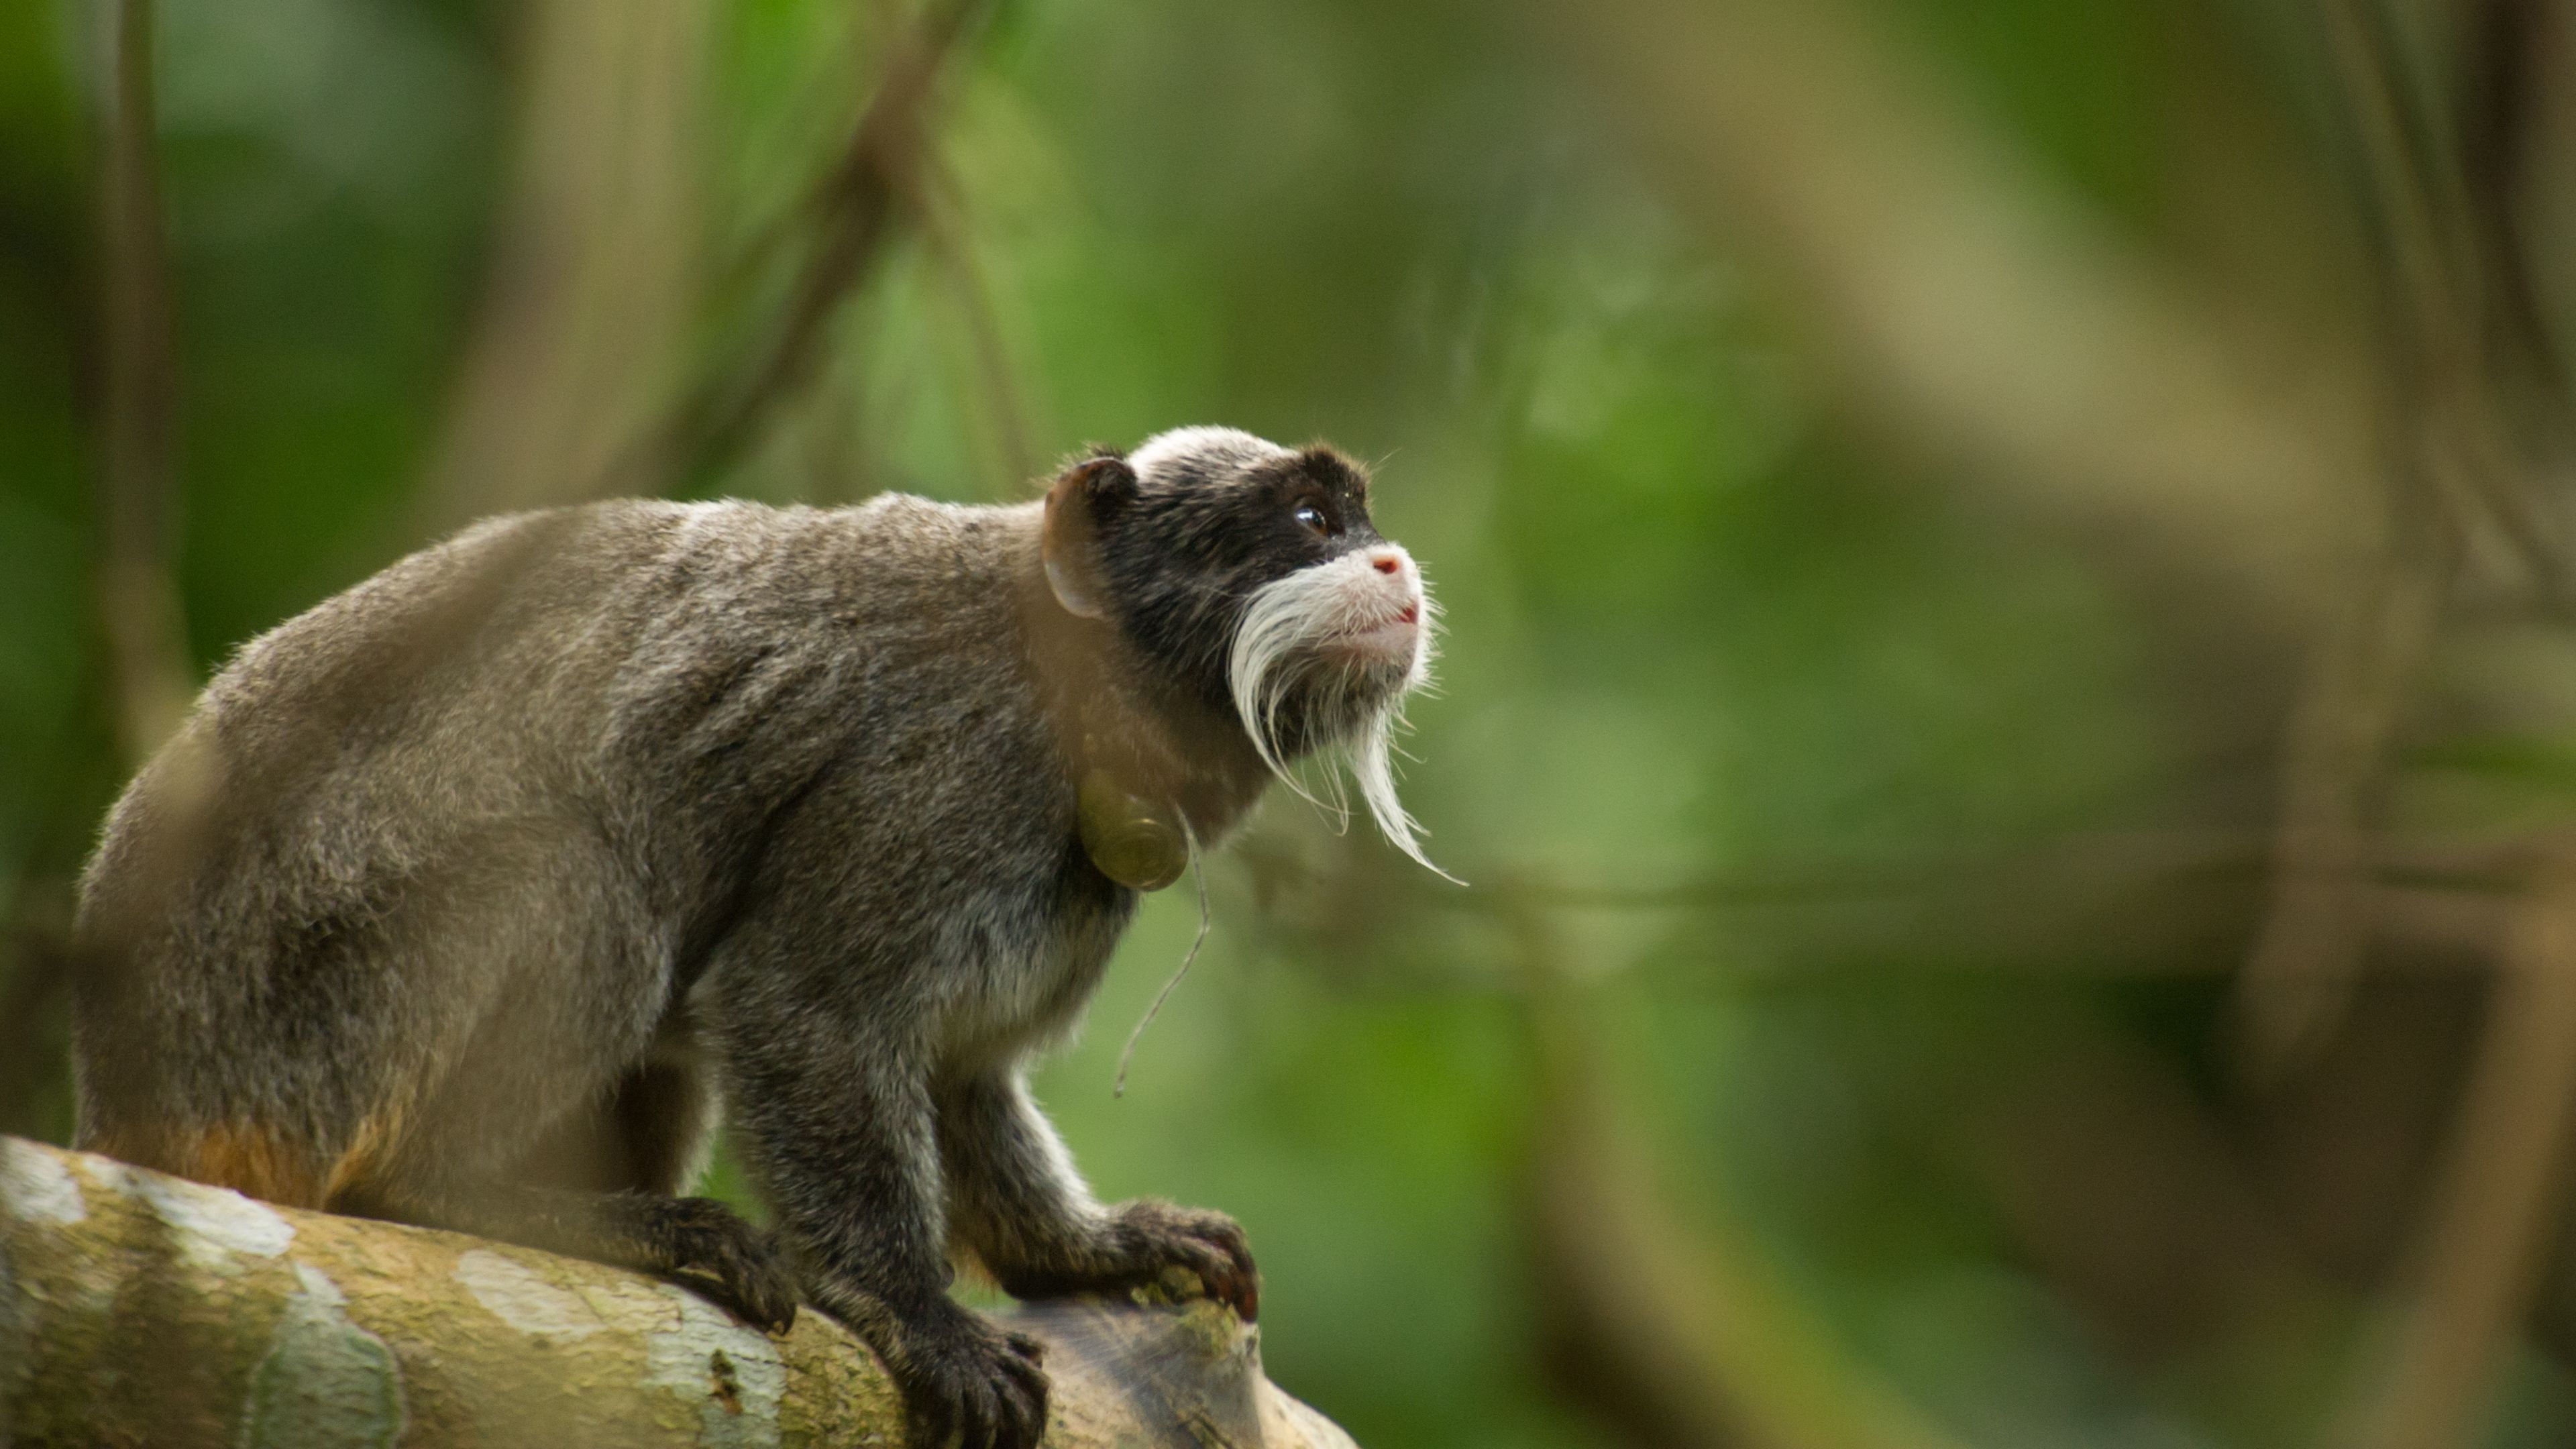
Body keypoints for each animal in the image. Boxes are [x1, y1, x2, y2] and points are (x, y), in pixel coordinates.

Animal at [70, 428, 1452, 1444]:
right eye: (1311, 525)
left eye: (1360, 520)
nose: (1396, 566)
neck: (1068, 695)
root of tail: (128, 1093)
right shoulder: (931, 784)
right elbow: (811, 1009)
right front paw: (917, 1313)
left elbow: (962, 1074)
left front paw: (1087, 1247)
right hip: (305, 1024)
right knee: (580, 875)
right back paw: (473, 1199)